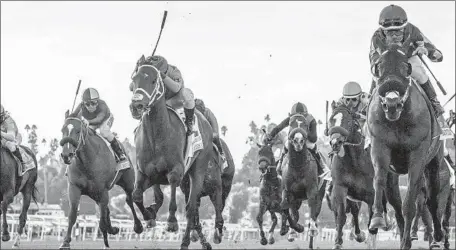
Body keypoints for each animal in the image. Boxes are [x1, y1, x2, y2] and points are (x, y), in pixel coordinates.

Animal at [58, 112, 142, 249]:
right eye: (63, 130)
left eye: (78, 131)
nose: (66, 155)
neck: (87, 162)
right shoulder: (74, 188)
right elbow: (72, 215)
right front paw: (65, 242)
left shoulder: (103, 191)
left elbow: (102, 220)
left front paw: (106, 244)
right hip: (95, 194)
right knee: (107, 209)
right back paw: (112, 229)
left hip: (127, 183)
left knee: (129, 200)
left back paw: (138, 226)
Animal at [128, 63, 214, 249]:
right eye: (134, 81)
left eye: (154, 80)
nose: (136, 106)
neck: (156, 134)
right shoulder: (145, 173)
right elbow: (137, 195)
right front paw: (148, 215)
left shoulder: (176, 170)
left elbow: (172, 194)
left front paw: (172, 222)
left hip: (198, 170)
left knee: (191, 208)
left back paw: (186, 242)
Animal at [328, 102, 402, 248]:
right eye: (331, 120)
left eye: (348, 121)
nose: (335, 143)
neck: (354, 160)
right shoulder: (340, 188)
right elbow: (341, 216)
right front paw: (338, 243)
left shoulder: (371, 195)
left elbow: (372, 224)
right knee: (355, 211)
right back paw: (358, 234)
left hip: (392, 190)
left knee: (398, 211)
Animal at [366, 42, 446, 249]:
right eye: (378, 67)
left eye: (407, 67)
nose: (392, 103)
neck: (399, 120)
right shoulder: (380, 146)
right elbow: (378, 179)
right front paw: (377, 218)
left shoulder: (417, 156)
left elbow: (410, 202)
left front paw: (406, 241)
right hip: (394, 177)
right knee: (396, 204)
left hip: (433, 164)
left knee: (431, 200)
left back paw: (437, 236)